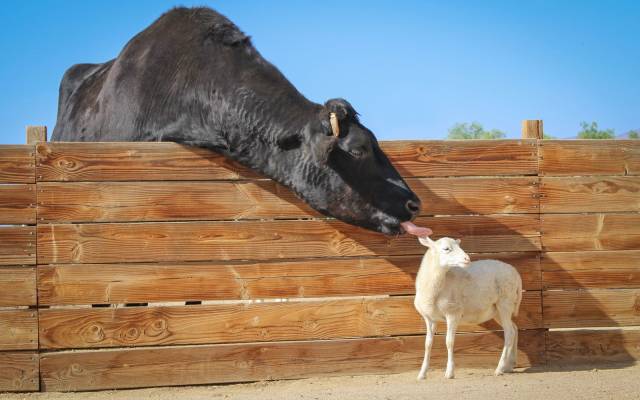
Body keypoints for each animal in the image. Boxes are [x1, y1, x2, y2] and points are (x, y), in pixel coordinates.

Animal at [412, 236, 524, 380]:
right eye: (446, 248)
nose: (467, 258)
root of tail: (516, 273)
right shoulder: (429, 318)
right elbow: (427, 344)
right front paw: (422, 373)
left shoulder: (453, 313)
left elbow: (449, 342)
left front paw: (449, 372)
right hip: (497, 309)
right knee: (514, 328)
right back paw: (510, 365)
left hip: (505, 302)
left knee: (509, 333)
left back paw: (499, 368)